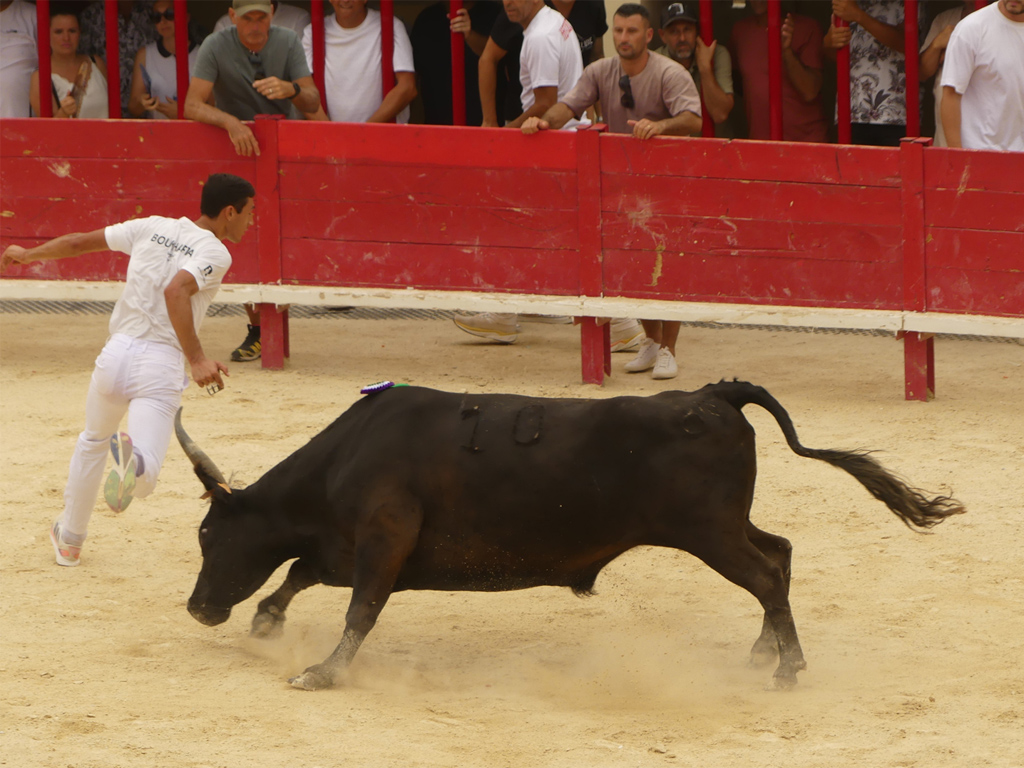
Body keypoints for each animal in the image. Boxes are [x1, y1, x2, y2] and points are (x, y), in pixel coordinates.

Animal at [176, 381, 964, 691]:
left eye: (209, 536)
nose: (197, 609)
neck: (348, 455)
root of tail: (713, 394)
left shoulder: (382, 538)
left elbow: (357, 607)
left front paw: (322, 672)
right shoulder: (356, 544)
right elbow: (303, 571)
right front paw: (267, 620)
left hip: (707, 532)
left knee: (768, 573)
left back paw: (786, 669)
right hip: (723, 527)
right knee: (781, 555)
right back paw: (761, 653)